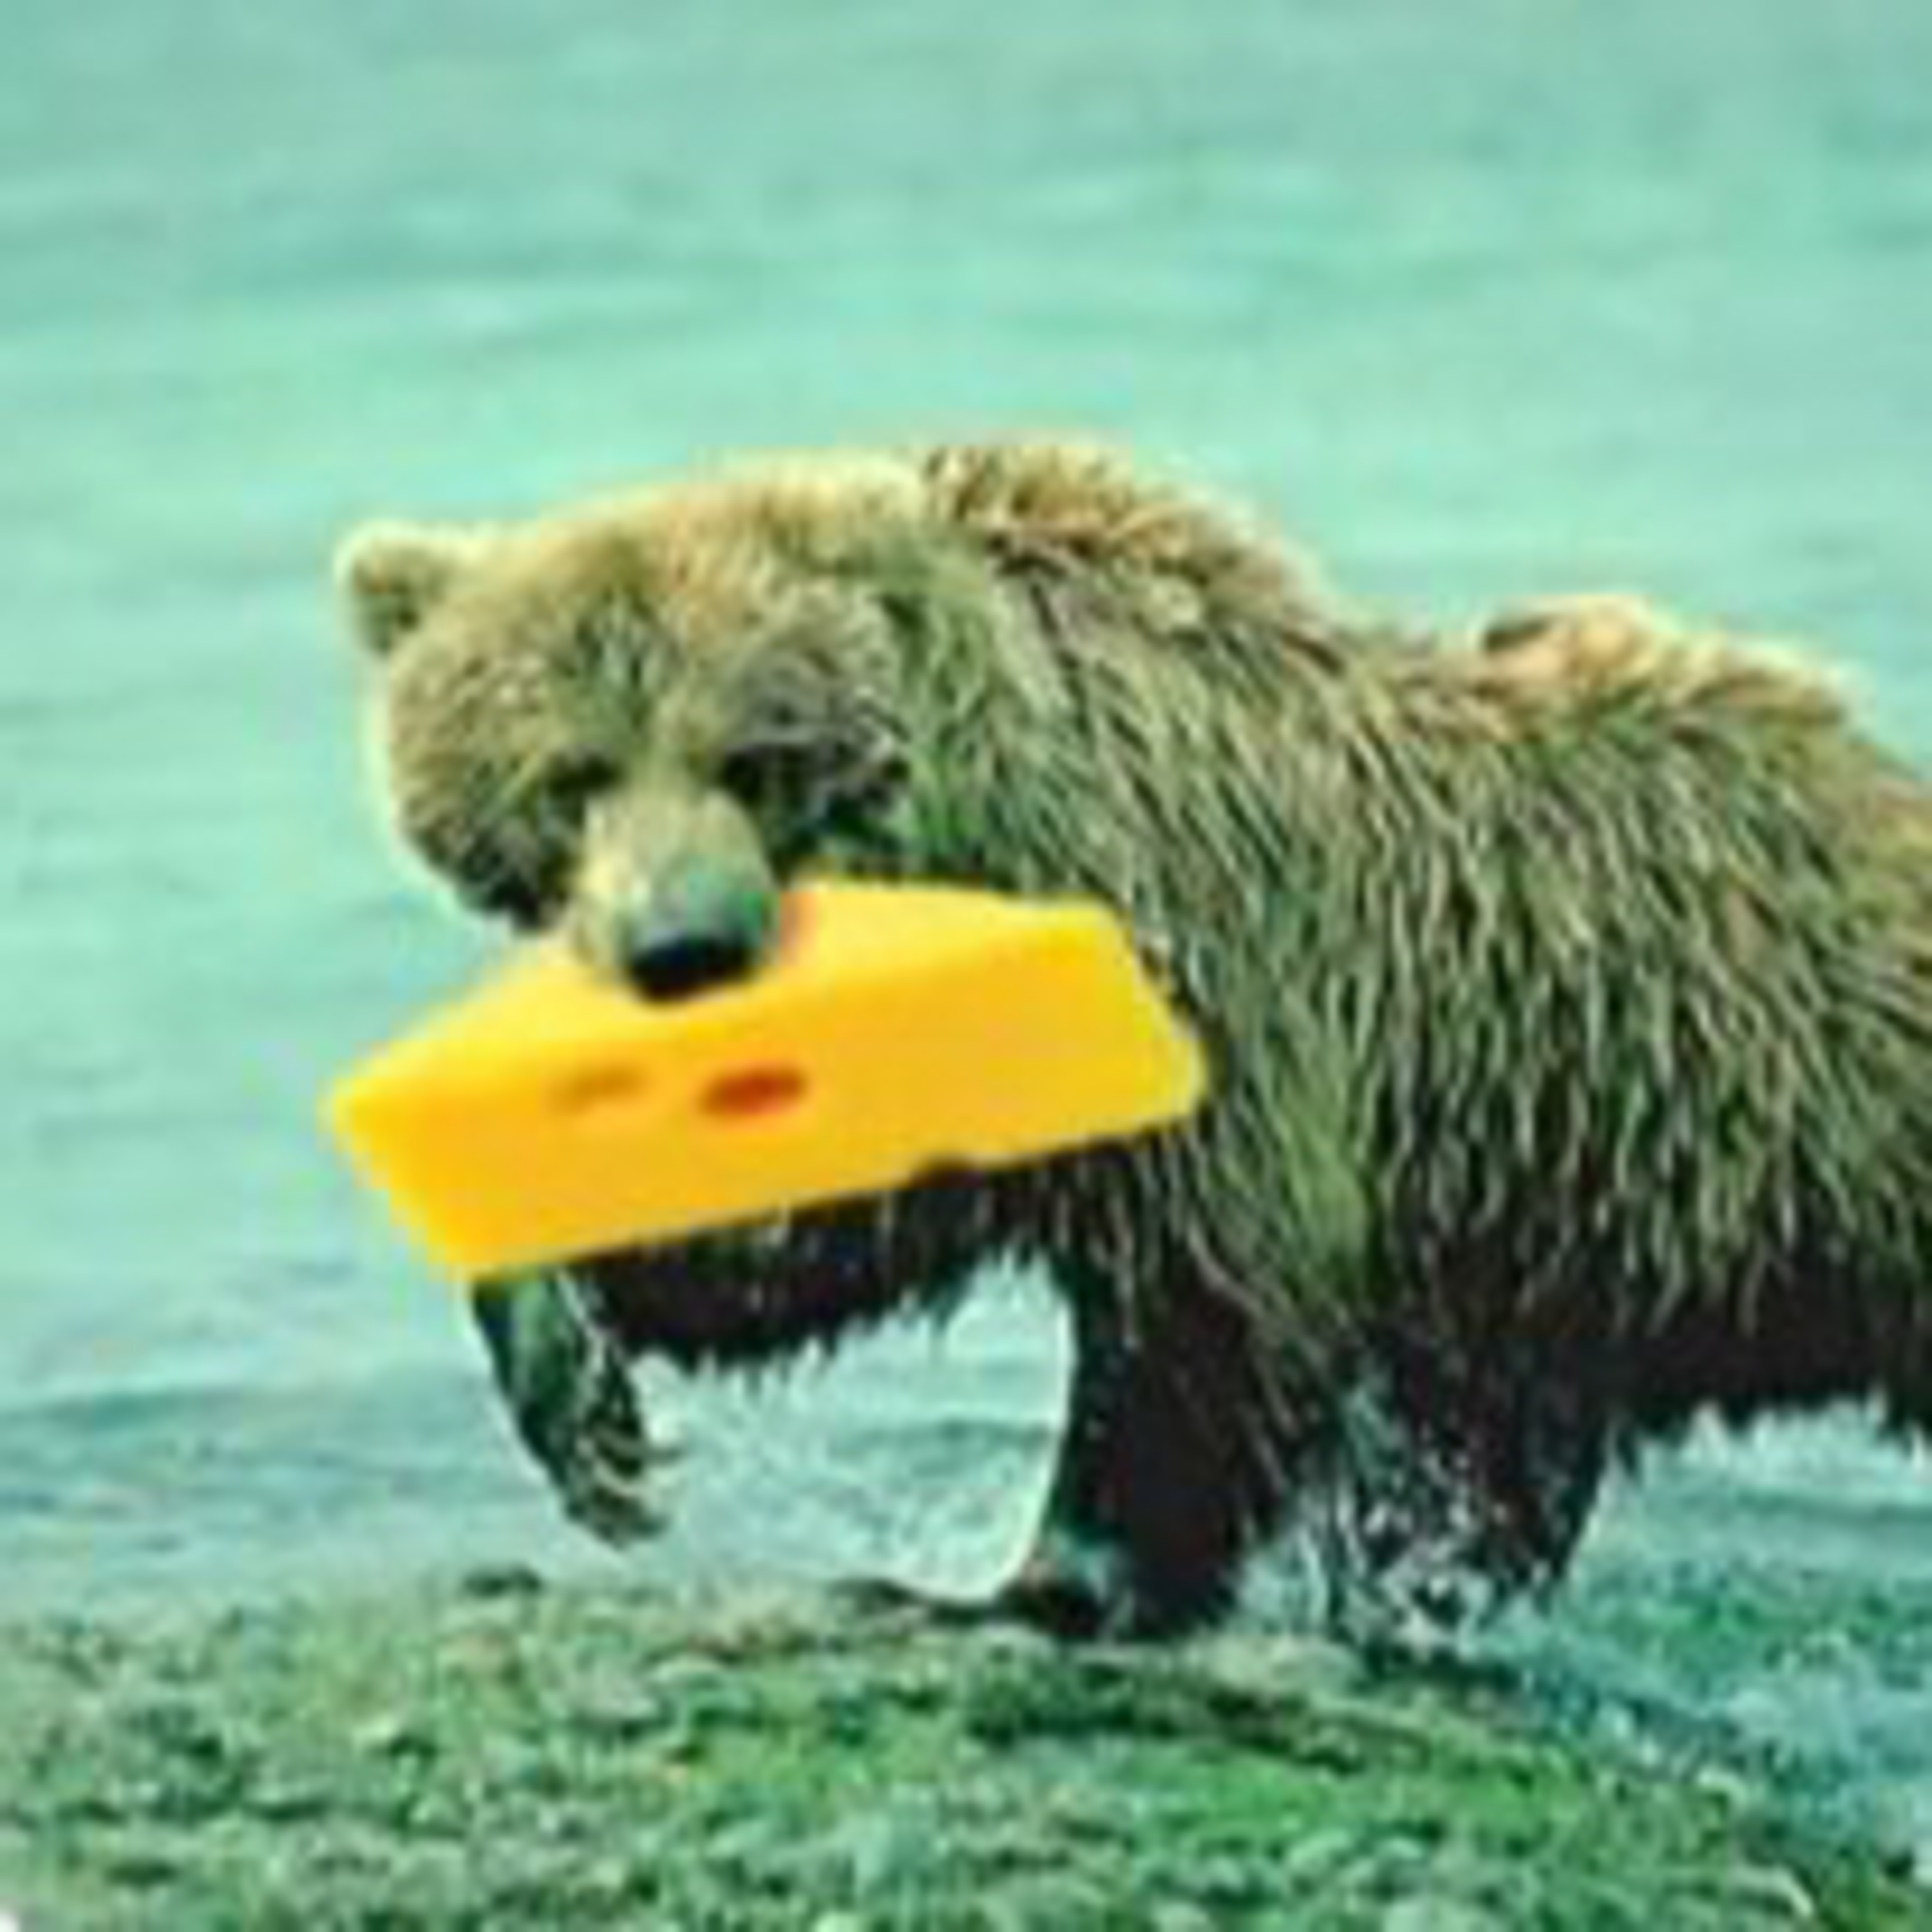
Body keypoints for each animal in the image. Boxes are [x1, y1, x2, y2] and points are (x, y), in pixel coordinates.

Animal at [335, 442, 1932, 1641]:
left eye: (756, 755)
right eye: (569, 775)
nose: (683, 950)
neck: (997, 839)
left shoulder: (1219, 982)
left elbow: (1204, 1304)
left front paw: (1037, 1586)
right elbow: (810, 1218)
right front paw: (577, 1377)